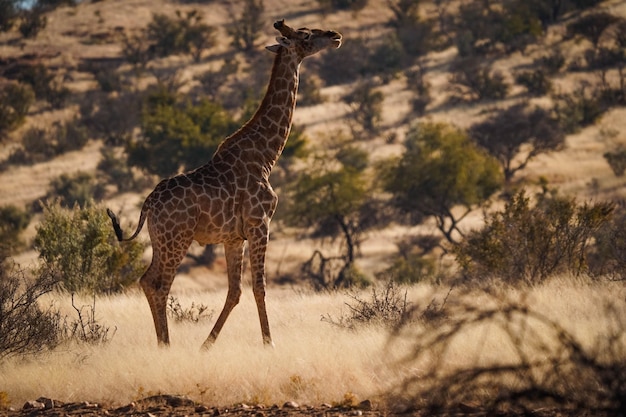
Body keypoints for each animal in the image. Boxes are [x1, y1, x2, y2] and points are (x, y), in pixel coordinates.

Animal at [107, 19, 342, 346]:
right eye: (306, 34)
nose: (335, 36)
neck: (266, 155)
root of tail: (147, 205)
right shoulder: (260, 224)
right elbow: (259, 287)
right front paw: (269, 344)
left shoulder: (233, 237)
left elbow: (235, 291)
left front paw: (206, 345)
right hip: (177, 238)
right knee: (159, 284)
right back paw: (166, 345)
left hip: (160, 239)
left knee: (146, 280)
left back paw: (164, 343)